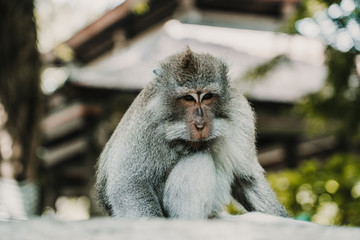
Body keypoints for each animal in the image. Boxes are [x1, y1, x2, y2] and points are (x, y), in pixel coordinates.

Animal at [94, 47, 288, 219]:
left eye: (207, 96)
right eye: (188, 98)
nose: (200, 123)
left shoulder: (241, 114)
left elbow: (246, 178)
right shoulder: (147, 123)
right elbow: (129, 184)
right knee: (199, 159)